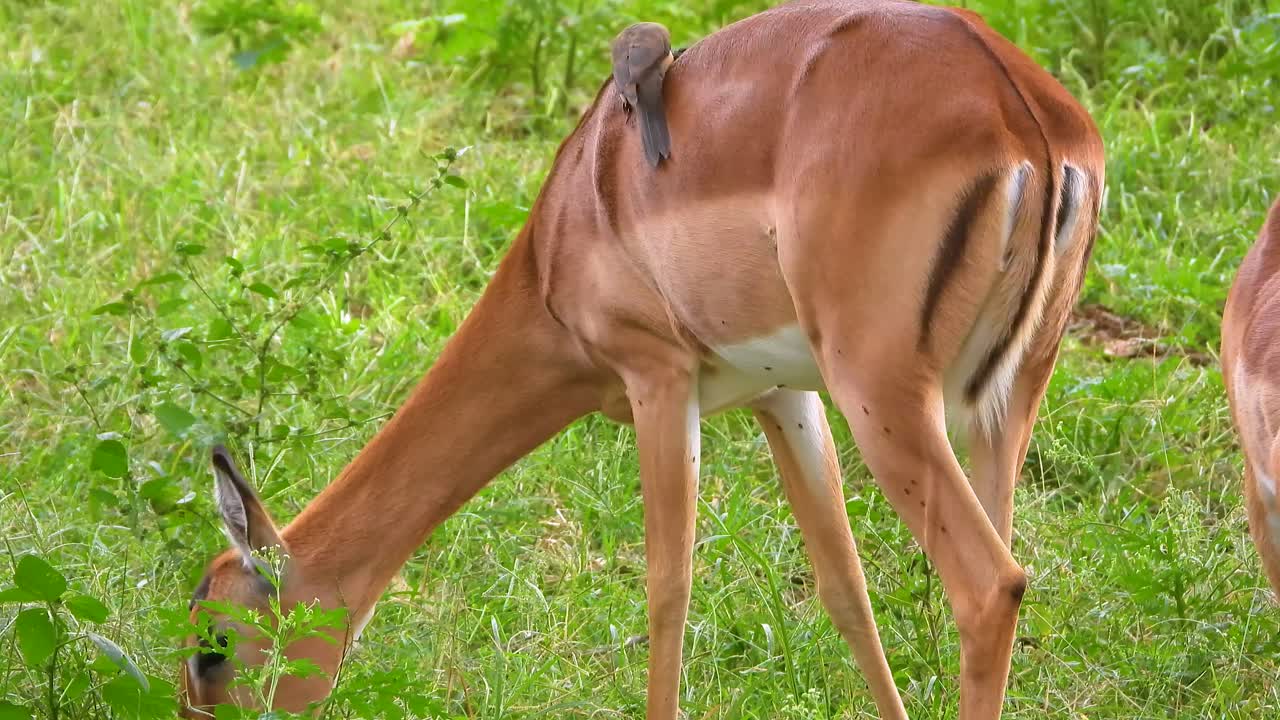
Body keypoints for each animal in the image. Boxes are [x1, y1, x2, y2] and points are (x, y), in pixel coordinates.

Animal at [180, 1, 1104, 718]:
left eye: (213, 646)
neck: (561, 238)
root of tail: (1020, 105)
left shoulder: (657, 379)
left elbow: (667, 591)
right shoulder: (781, 397)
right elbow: (844, 589)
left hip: (884, 397)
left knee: (989, 587)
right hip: (1004, 398)